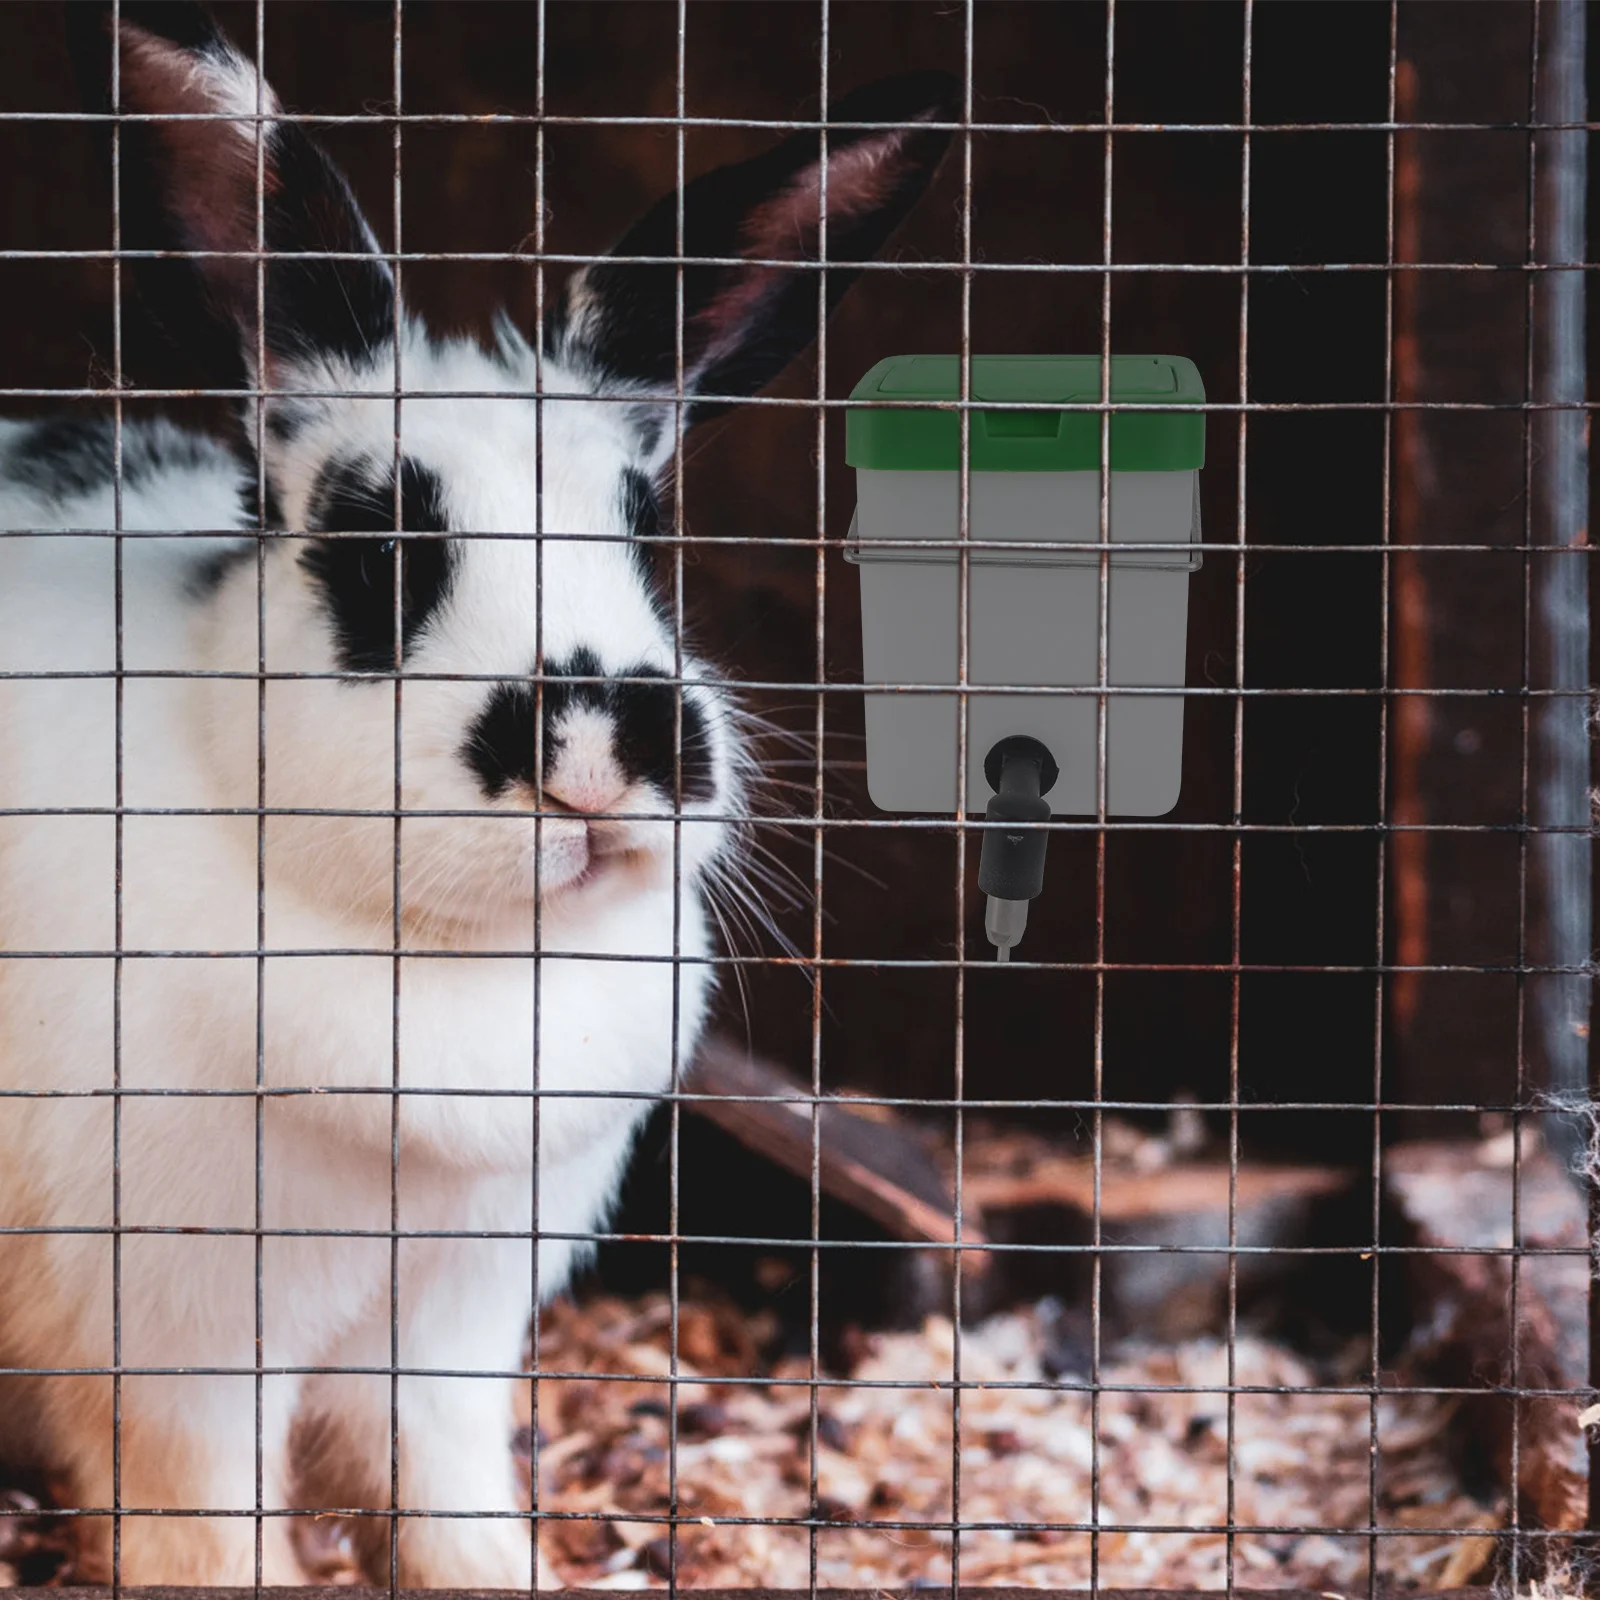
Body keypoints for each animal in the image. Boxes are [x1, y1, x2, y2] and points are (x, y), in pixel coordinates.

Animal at [0, 3, 954, 1587]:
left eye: (645, 531)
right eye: (379, 550)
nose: (601, 749)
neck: (462, 964)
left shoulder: (446, 1324)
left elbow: (444, 1486)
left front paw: (500, 1576)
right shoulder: (175, 1341)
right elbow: (206, 1513)